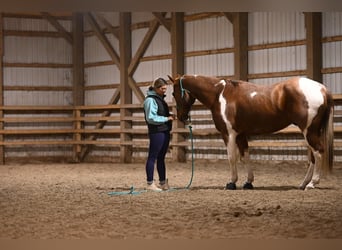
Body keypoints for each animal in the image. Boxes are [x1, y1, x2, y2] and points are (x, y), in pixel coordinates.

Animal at [168, 74, 334, 189]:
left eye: (174, 93)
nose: (181, 116)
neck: (218, 94)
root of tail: (322, 89)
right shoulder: (241, 134)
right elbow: (245, 157)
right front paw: (248, 182)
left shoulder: (228, 134)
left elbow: (232, 158)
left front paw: (231, 183)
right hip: (312, 132)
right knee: (313, 156)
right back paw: (304, 183)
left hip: (309, 131)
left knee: (318, 152)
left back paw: (312, 184)